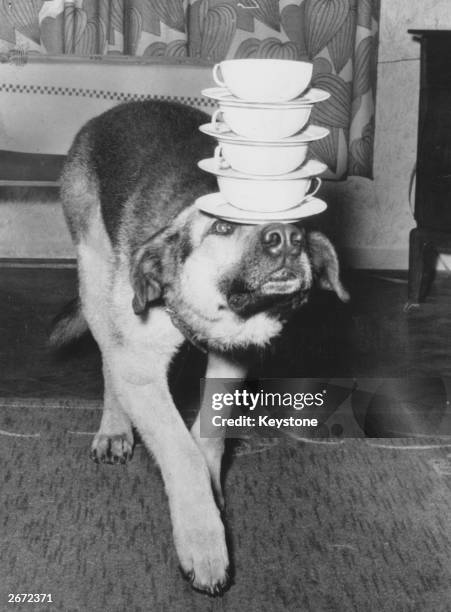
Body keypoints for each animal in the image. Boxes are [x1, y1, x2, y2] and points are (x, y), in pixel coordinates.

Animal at [52, 99, 350, 592]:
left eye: (298, 224)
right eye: (224, 227)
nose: (287, 239)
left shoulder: (232, 359)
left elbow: (208, 434)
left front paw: (212, 493)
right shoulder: (141, 369)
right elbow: (181, 452)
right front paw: (203, 542)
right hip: (95, 279)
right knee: (109, 358)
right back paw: (115, 427)